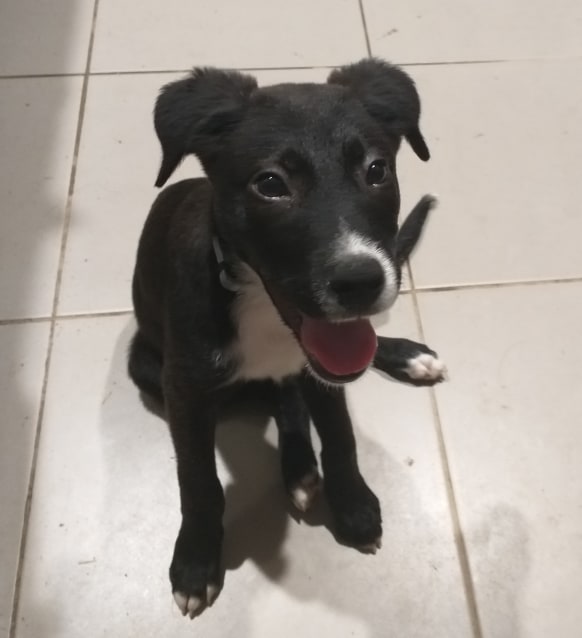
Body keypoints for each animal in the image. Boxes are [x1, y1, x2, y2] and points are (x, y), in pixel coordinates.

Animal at [128, 58, 445, 619]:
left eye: (377, 170)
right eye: (270, 183)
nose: (362, 282)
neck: (258, 301)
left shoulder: (330, 366)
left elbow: (340, 433)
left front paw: (353, 503)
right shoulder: (183, 389)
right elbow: (197, 478)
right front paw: (196, 560)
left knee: (298, 389)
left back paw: (403, 360)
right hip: (146, 366)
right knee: (280, 396)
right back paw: (297, 469)